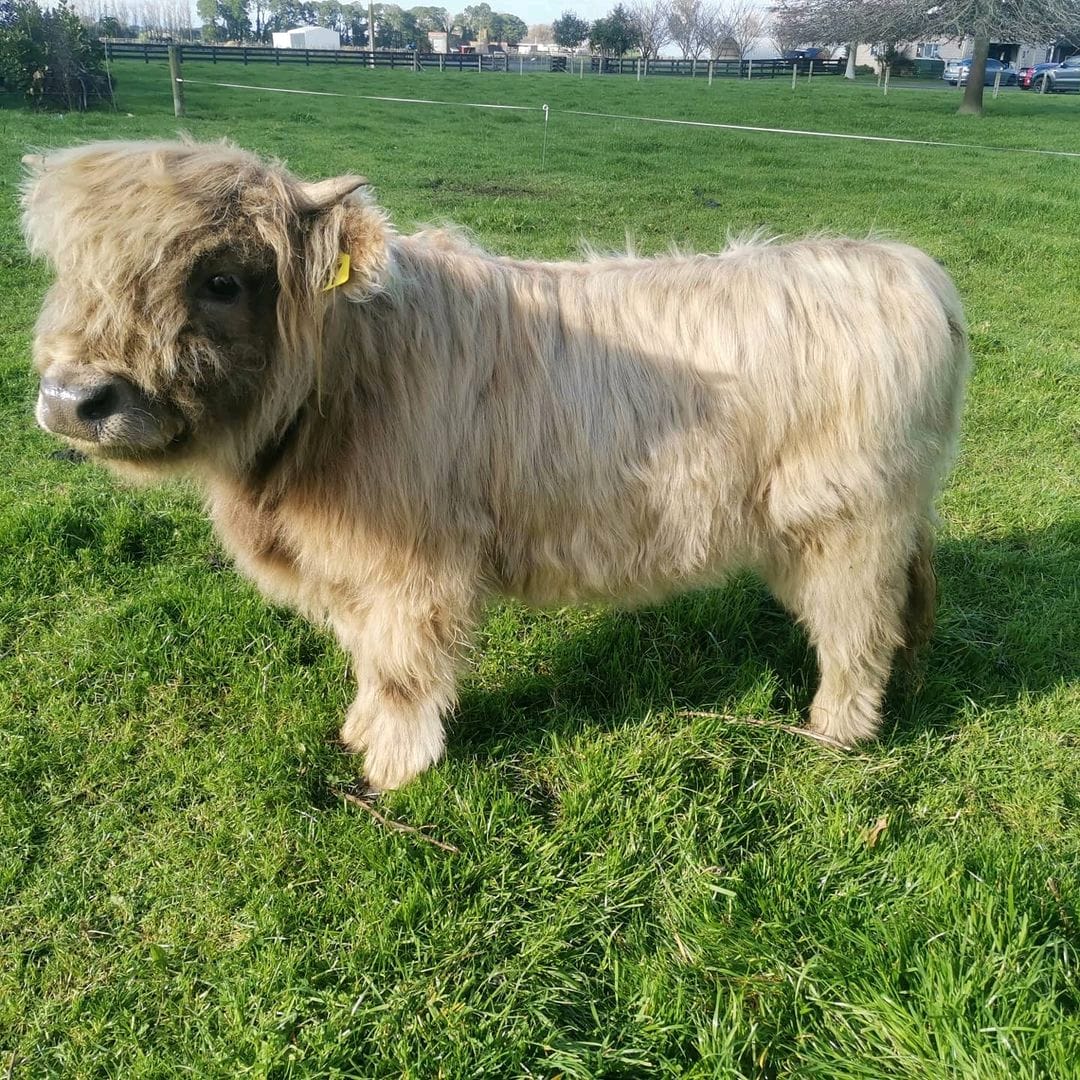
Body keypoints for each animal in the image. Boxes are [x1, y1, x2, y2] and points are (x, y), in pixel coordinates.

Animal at [21, 139, 967, 790]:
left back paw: (835, 731)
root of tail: (906, 266)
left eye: (220, 279)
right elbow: (368, 657)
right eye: (72, 273)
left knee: (858, 629)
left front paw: (394, 767)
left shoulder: (414, 567)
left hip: (848, 526)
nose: (74, 398)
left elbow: (403, 666)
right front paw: (361, 730)